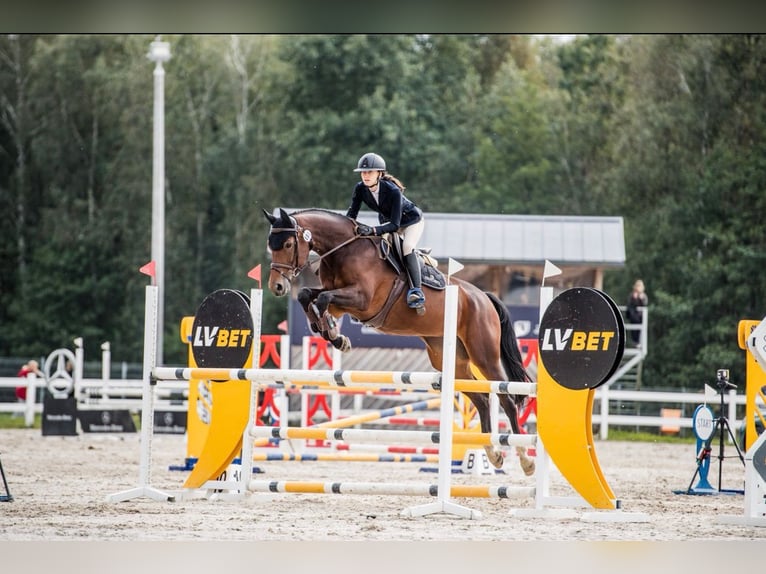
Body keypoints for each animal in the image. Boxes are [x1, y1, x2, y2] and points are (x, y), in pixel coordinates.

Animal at [263, 207, 534, 474]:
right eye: (270, 245)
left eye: (288, 244)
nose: (277, 287)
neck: (345, 250)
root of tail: (484, 297)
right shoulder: (340, 300)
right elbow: (307, 295)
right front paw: (333, 335)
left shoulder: (361, 300)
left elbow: (321, 299)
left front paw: (330, 330)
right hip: (451, 361)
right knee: (482, 399)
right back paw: (493, 454)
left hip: (484, 355)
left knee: (506, 398)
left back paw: (524, 459)